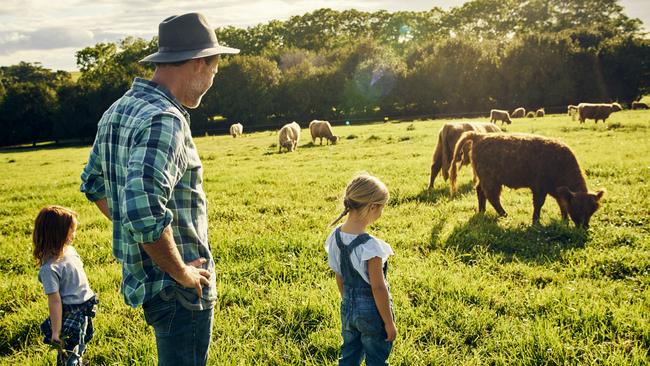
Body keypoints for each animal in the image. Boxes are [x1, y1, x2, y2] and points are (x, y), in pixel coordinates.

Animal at [448, 132, 600, 226]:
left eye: (593, 210)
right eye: (577, 207)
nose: (584, 226)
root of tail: (479, 136)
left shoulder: (556, 191)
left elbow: (562, 204)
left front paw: (564, 220)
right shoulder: (539, 188)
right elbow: (538, 204)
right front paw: (535, 222)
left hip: (485, 178)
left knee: (480, 191)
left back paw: (482, 211)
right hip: (491, 179)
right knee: (492, 196)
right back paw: (505, 215)